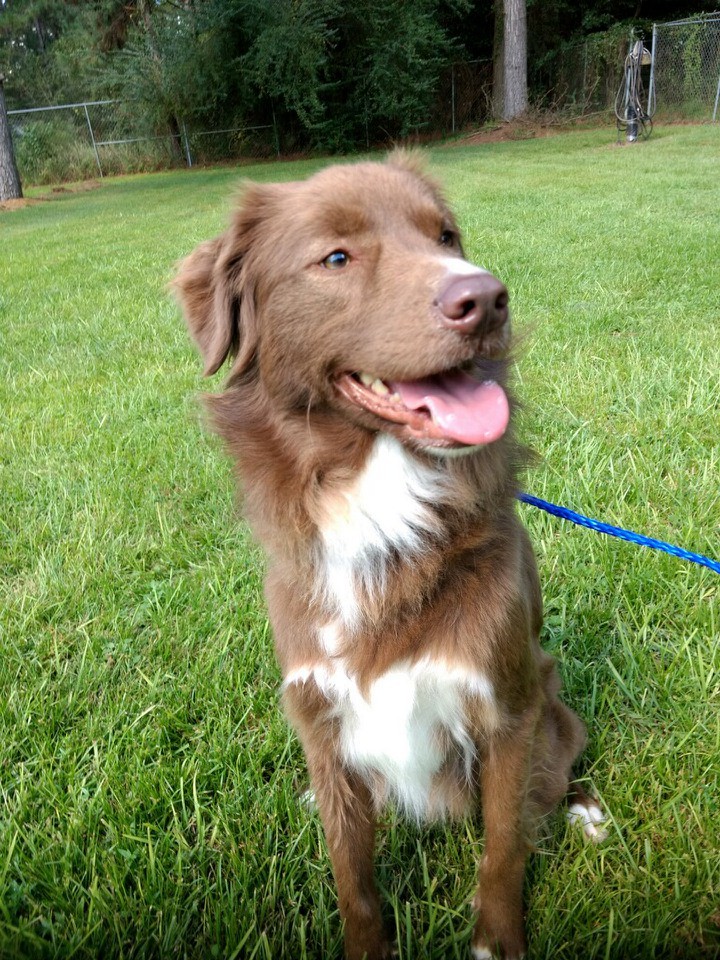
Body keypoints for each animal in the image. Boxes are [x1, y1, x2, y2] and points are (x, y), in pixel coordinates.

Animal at [173, 154, 600, 956]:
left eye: (446, 236)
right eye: (337, 258)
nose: (485, 298)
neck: (383, 505)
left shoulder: (506, 706)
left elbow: (503, 845)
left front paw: (497, 939)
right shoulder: (321, 717)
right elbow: (353, 876)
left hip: (549, 695)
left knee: (562, 763)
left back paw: (587, 810)